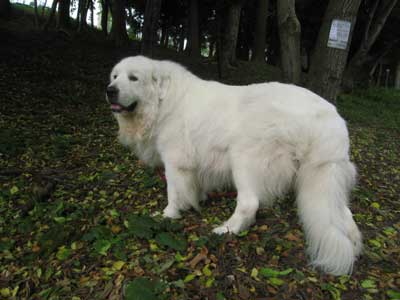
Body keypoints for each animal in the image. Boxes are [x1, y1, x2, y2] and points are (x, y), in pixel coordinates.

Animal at [106, 55, 362, 276]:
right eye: (115, 76)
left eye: (133, 78)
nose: (110, 90)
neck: (164, 100)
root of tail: (330, 116)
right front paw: (196, 201)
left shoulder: (175, 161)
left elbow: (174, 192)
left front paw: (168, 215)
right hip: (325, 176)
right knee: (344, 213)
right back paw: (354, 244)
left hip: (244, 159)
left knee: (249, 203)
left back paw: (227, 229)